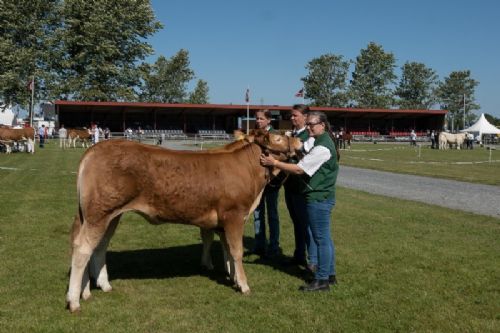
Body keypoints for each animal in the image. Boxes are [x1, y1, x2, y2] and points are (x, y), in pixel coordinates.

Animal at [66, 130, 300, 312]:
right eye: (278, 138)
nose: (297, 140)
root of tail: (96, 149)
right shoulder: (234, 216)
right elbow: (236, 252)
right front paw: (243, 285)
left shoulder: (223, 221)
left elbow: (226, 250)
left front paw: (232, 277)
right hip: (98, 214)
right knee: (83, 249)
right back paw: (74, 300)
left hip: (109, 215)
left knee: (99, 247)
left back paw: (97, 287)